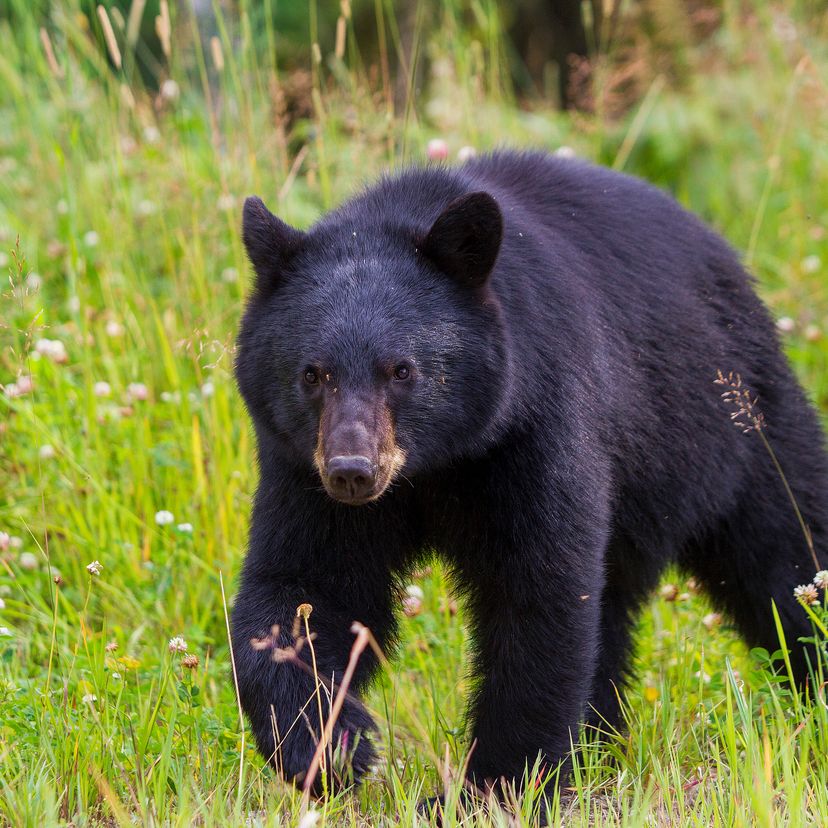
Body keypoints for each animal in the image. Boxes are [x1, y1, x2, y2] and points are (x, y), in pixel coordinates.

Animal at [231, 149, 828, 804]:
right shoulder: (300, 467)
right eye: (312, 374)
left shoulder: (535, 424)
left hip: (732, 422)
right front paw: (331, 745)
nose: (353, 472)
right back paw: (598, 744)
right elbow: (304, 587)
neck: (436, 465)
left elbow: (538, 595)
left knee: (787, 550)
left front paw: (493, 786)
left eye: (402, 370)